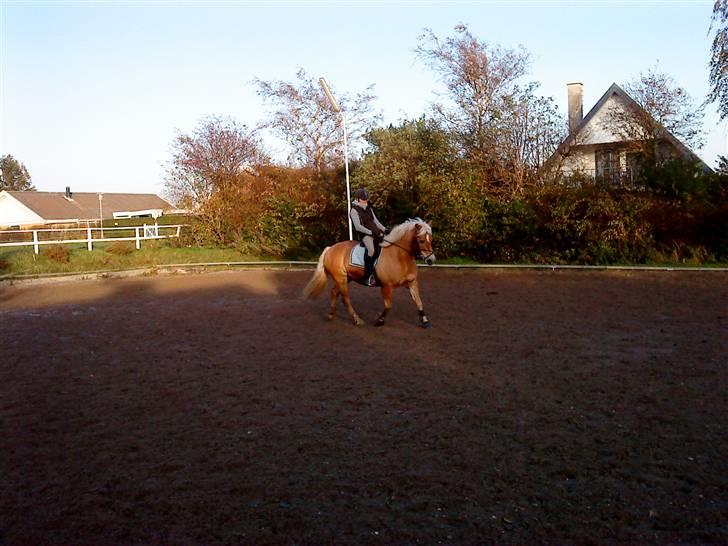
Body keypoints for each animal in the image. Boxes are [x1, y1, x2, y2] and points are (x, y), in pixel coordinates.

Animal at [302, 218, 436, 328]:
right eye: (421, 240)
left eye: (431, 239)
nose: (431, 260)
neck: (400, 256)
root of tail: (330, 248)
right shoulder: (386, 286)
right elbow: (388, 305)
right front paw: (380, 321)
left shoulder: (412, 283)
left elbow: (419, 301)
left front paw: (425, 321)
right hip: (340, 279)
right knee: (346, 299)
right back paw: (357, 320)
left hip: (346, 278)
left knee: (334, 292)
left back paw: (330, 314)